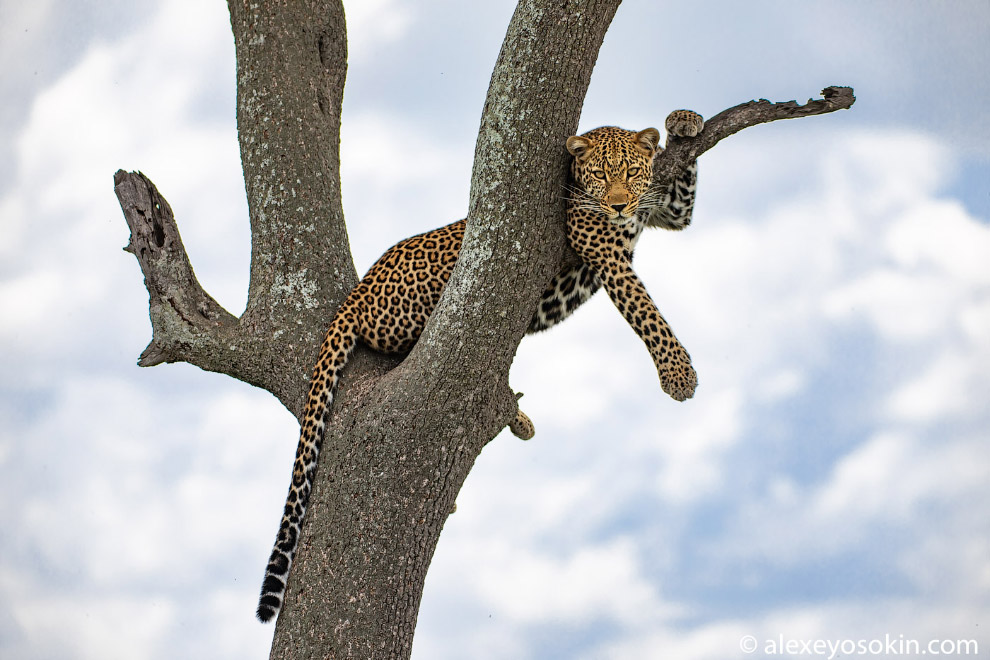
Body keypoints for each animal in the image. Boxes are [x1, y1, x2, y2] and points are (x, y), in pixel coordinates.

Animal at [256, 108, 704, 624]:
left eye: (631, 173)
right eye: (598, 175)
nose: (617, 205)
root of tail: (357, 290)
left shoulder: (664, 212)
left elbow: (683, 194)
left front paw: (683, 122)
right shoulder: (602, 247)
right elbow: (645, 311)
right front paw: (678, 374)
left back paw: (517, 415)